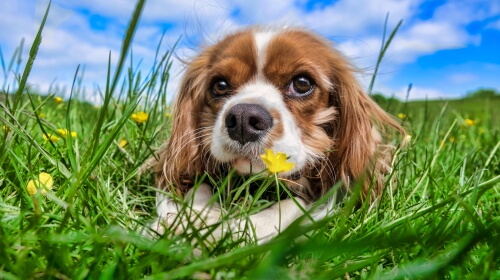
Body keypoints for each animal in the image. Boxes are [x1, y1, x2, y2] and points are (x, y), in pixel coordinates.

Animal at [146, 26, 404, 245]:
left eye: (302, 83)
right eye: (220, 85)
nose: (243, 119)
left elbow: (292, 205)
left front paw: (230, 230)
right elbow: (196, 188)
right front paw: (188, 220)